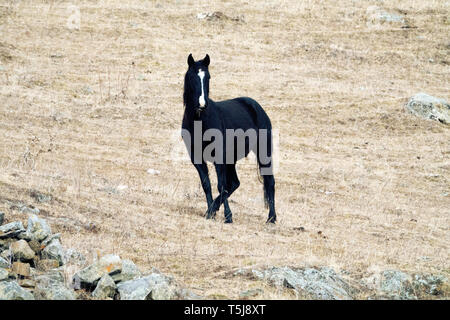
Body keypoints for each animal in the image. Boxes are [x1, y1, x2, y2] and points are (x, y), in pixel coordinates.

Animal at [181, 53, 276, 222]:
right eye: (192, 77)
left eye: (208, 77)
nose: (202, 104)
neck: (200, 120)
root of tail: (255, 106)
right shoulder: (197, 158)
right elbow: (207, 184)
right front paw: (210, 212)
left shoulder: (219, 157)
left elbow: (221, 185)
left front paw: (227, 216)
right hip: (231, 159)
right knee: (235, 183)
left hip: (263, 152)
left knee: (269, 181)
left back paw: (271, 218)